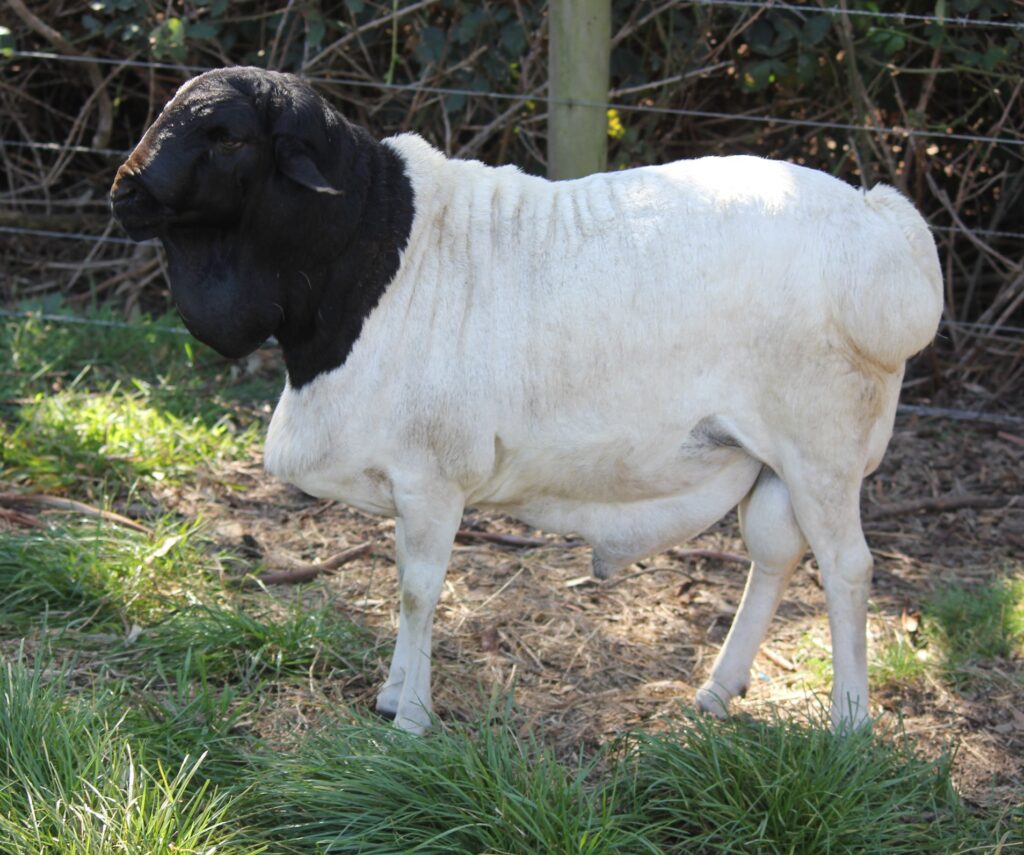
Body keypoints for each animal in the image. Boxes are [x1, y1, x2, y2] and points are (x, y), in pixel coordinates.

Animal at [111, 67, 943, 735]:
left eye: (227, 137)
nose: (124, 189)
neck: (376, 254)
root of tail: (883, 227)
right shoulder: (406, 479)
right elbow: (403, 580)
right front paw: (393, 694)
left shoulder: (432, 475)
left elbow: (417, 590)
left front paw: (410, 718)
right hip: (770, 455)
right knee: (775, 554)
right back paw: (717, 689)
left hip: (823, 444)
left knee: (847, 568)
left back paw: (849, 725)